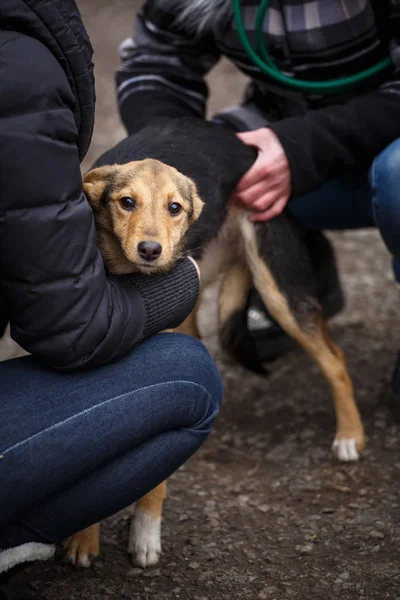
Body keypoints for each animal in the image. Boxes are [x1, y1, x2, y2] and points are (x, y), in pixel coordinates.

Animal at [65, 117, 366, 572]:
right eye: (126, 202)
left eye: (174, 208)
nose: (151, 250)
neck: (128, 282)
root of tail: (237, 140)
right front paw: (84, 535)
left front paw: (145, 532)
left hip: (276, 284)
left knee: (333, 358)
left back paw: (350, 435)